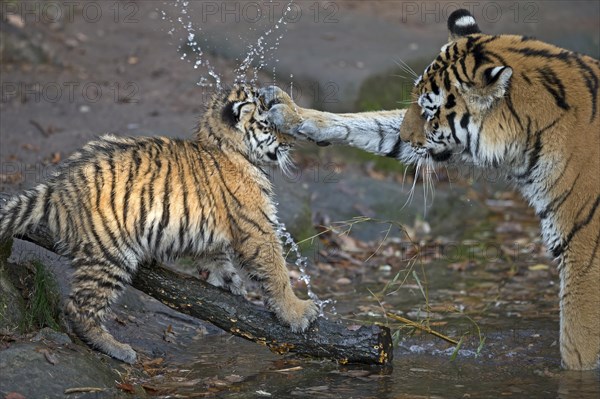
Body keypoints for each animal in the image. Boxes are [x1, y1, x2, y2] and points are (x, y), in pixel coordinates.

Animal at [0, 86, 318, 364]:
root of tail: (57, 185)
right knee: (78, 307)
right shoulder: (257, 227)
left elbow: (217, 257)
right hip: (110, 255)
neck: (223, 144)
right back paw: (117, 349)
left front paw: (230, 282)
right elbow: (276, 271)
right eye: (268, 124)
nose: (291, 143)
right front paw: (298, 312)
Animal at [262, 10, 600, 372]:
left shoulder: (584, 255)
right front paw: (289, 113)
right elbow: (372, 123)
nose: (406, 136)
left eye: (429, 110)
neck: (529, 136)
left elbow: (577, 346)